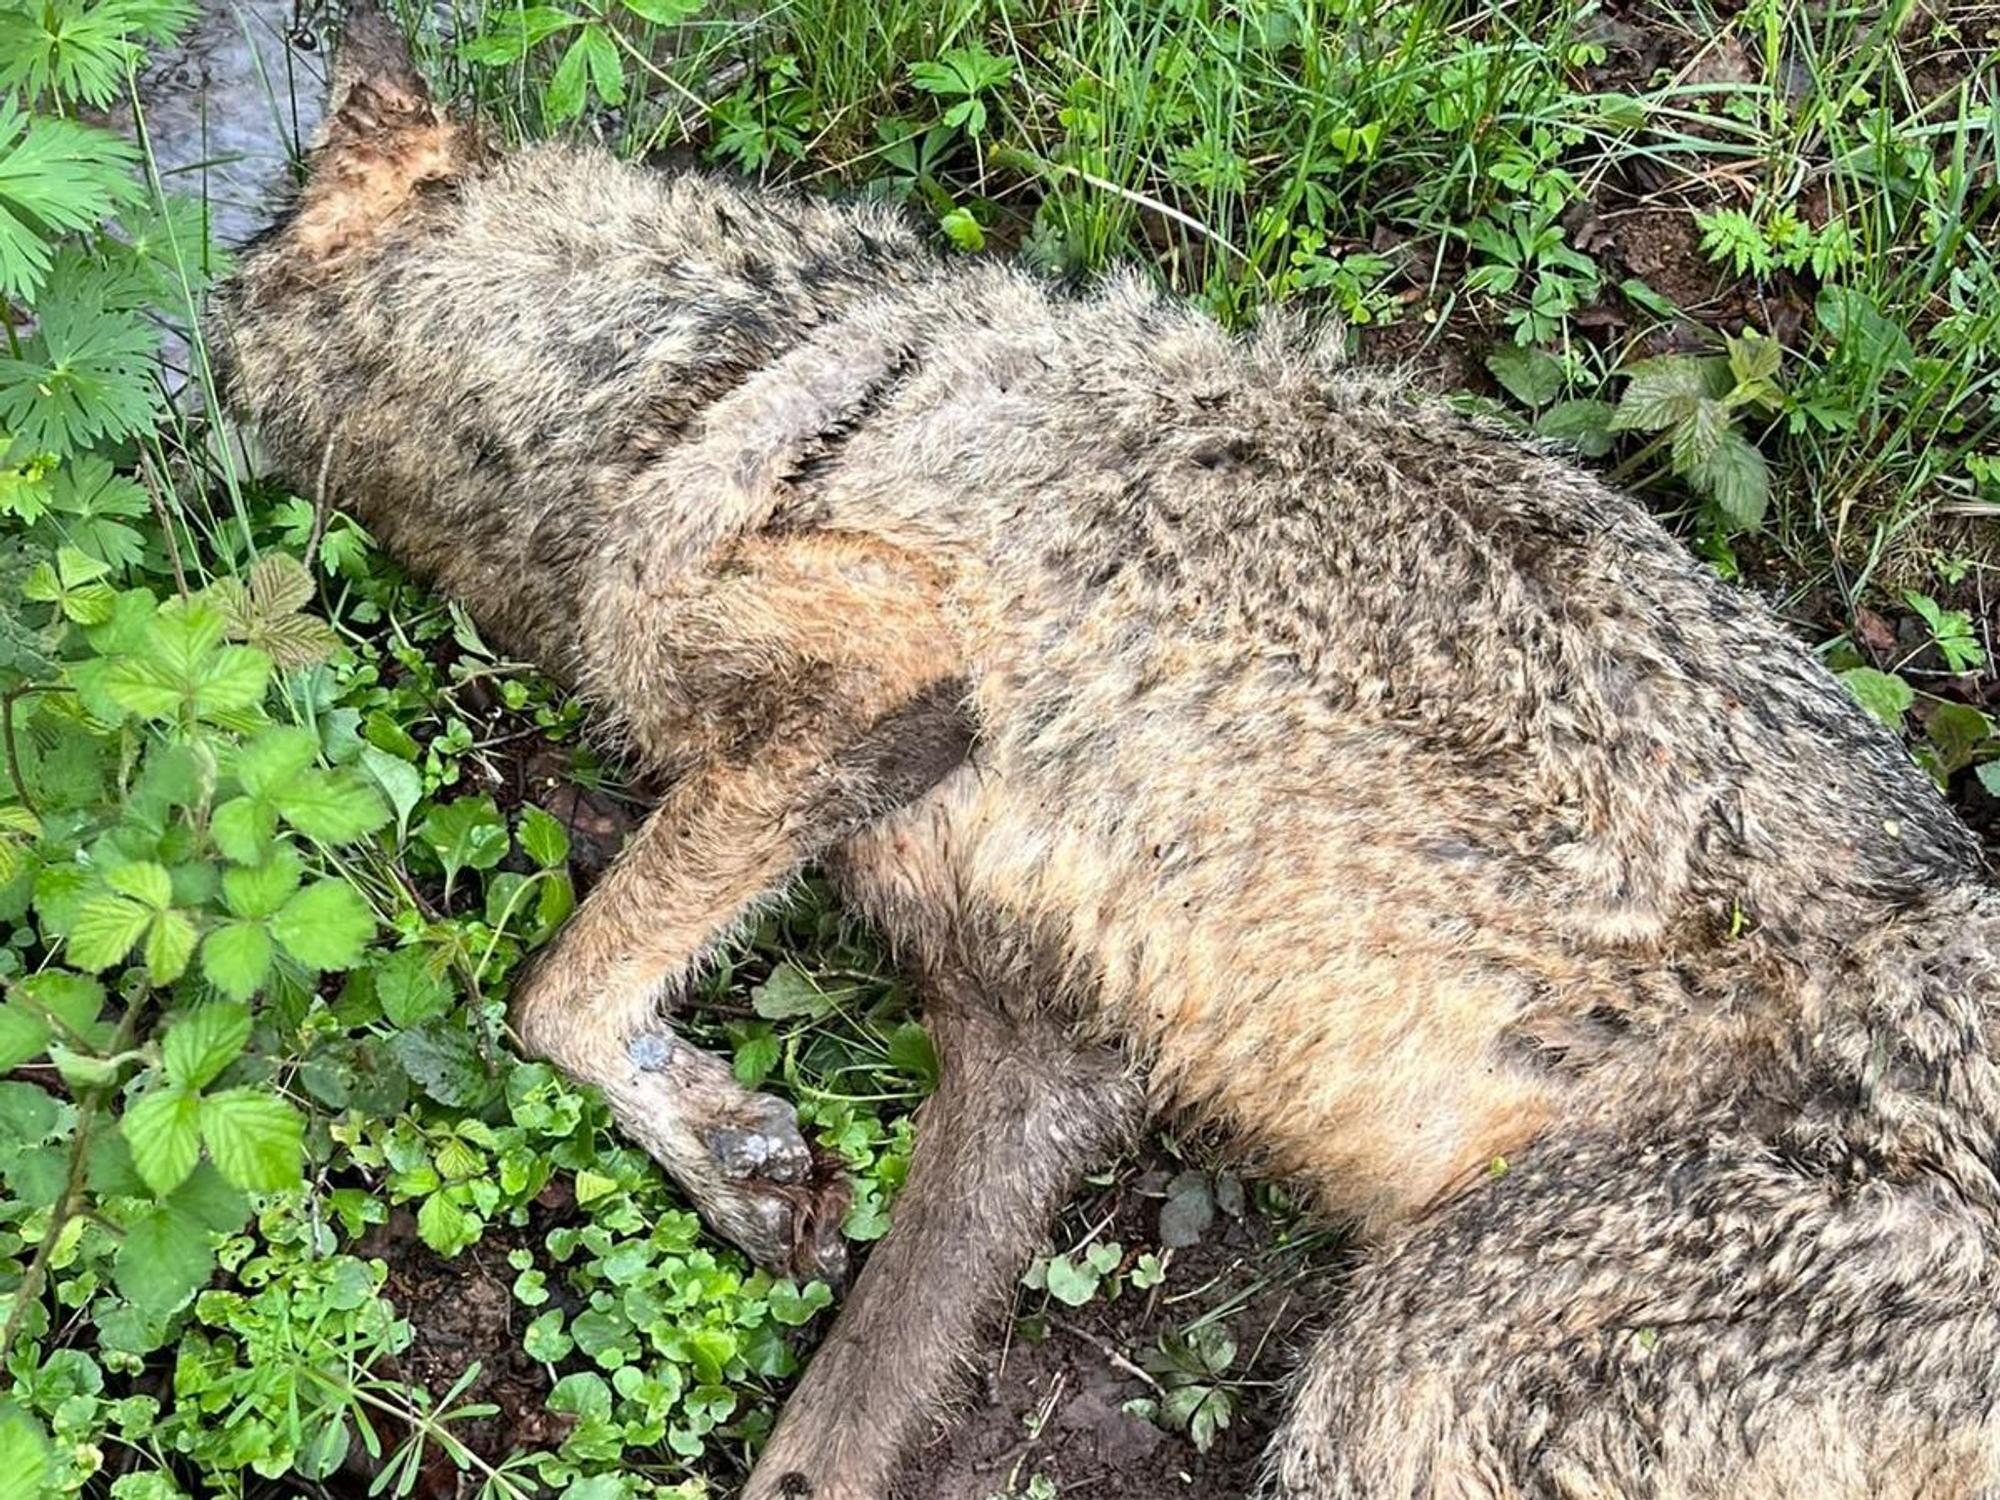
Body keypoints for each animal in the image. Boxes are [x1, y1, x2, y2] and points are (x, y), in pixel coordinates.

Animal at [206, 6, 2000, 1497]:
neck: (705, 356)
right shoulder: (1036, 1058)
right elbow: (814, 1446)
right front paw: (748, 1169)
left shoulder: (880, 670)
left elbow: (552, 994)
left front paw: (724, 1141)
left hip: (1401, 1378)